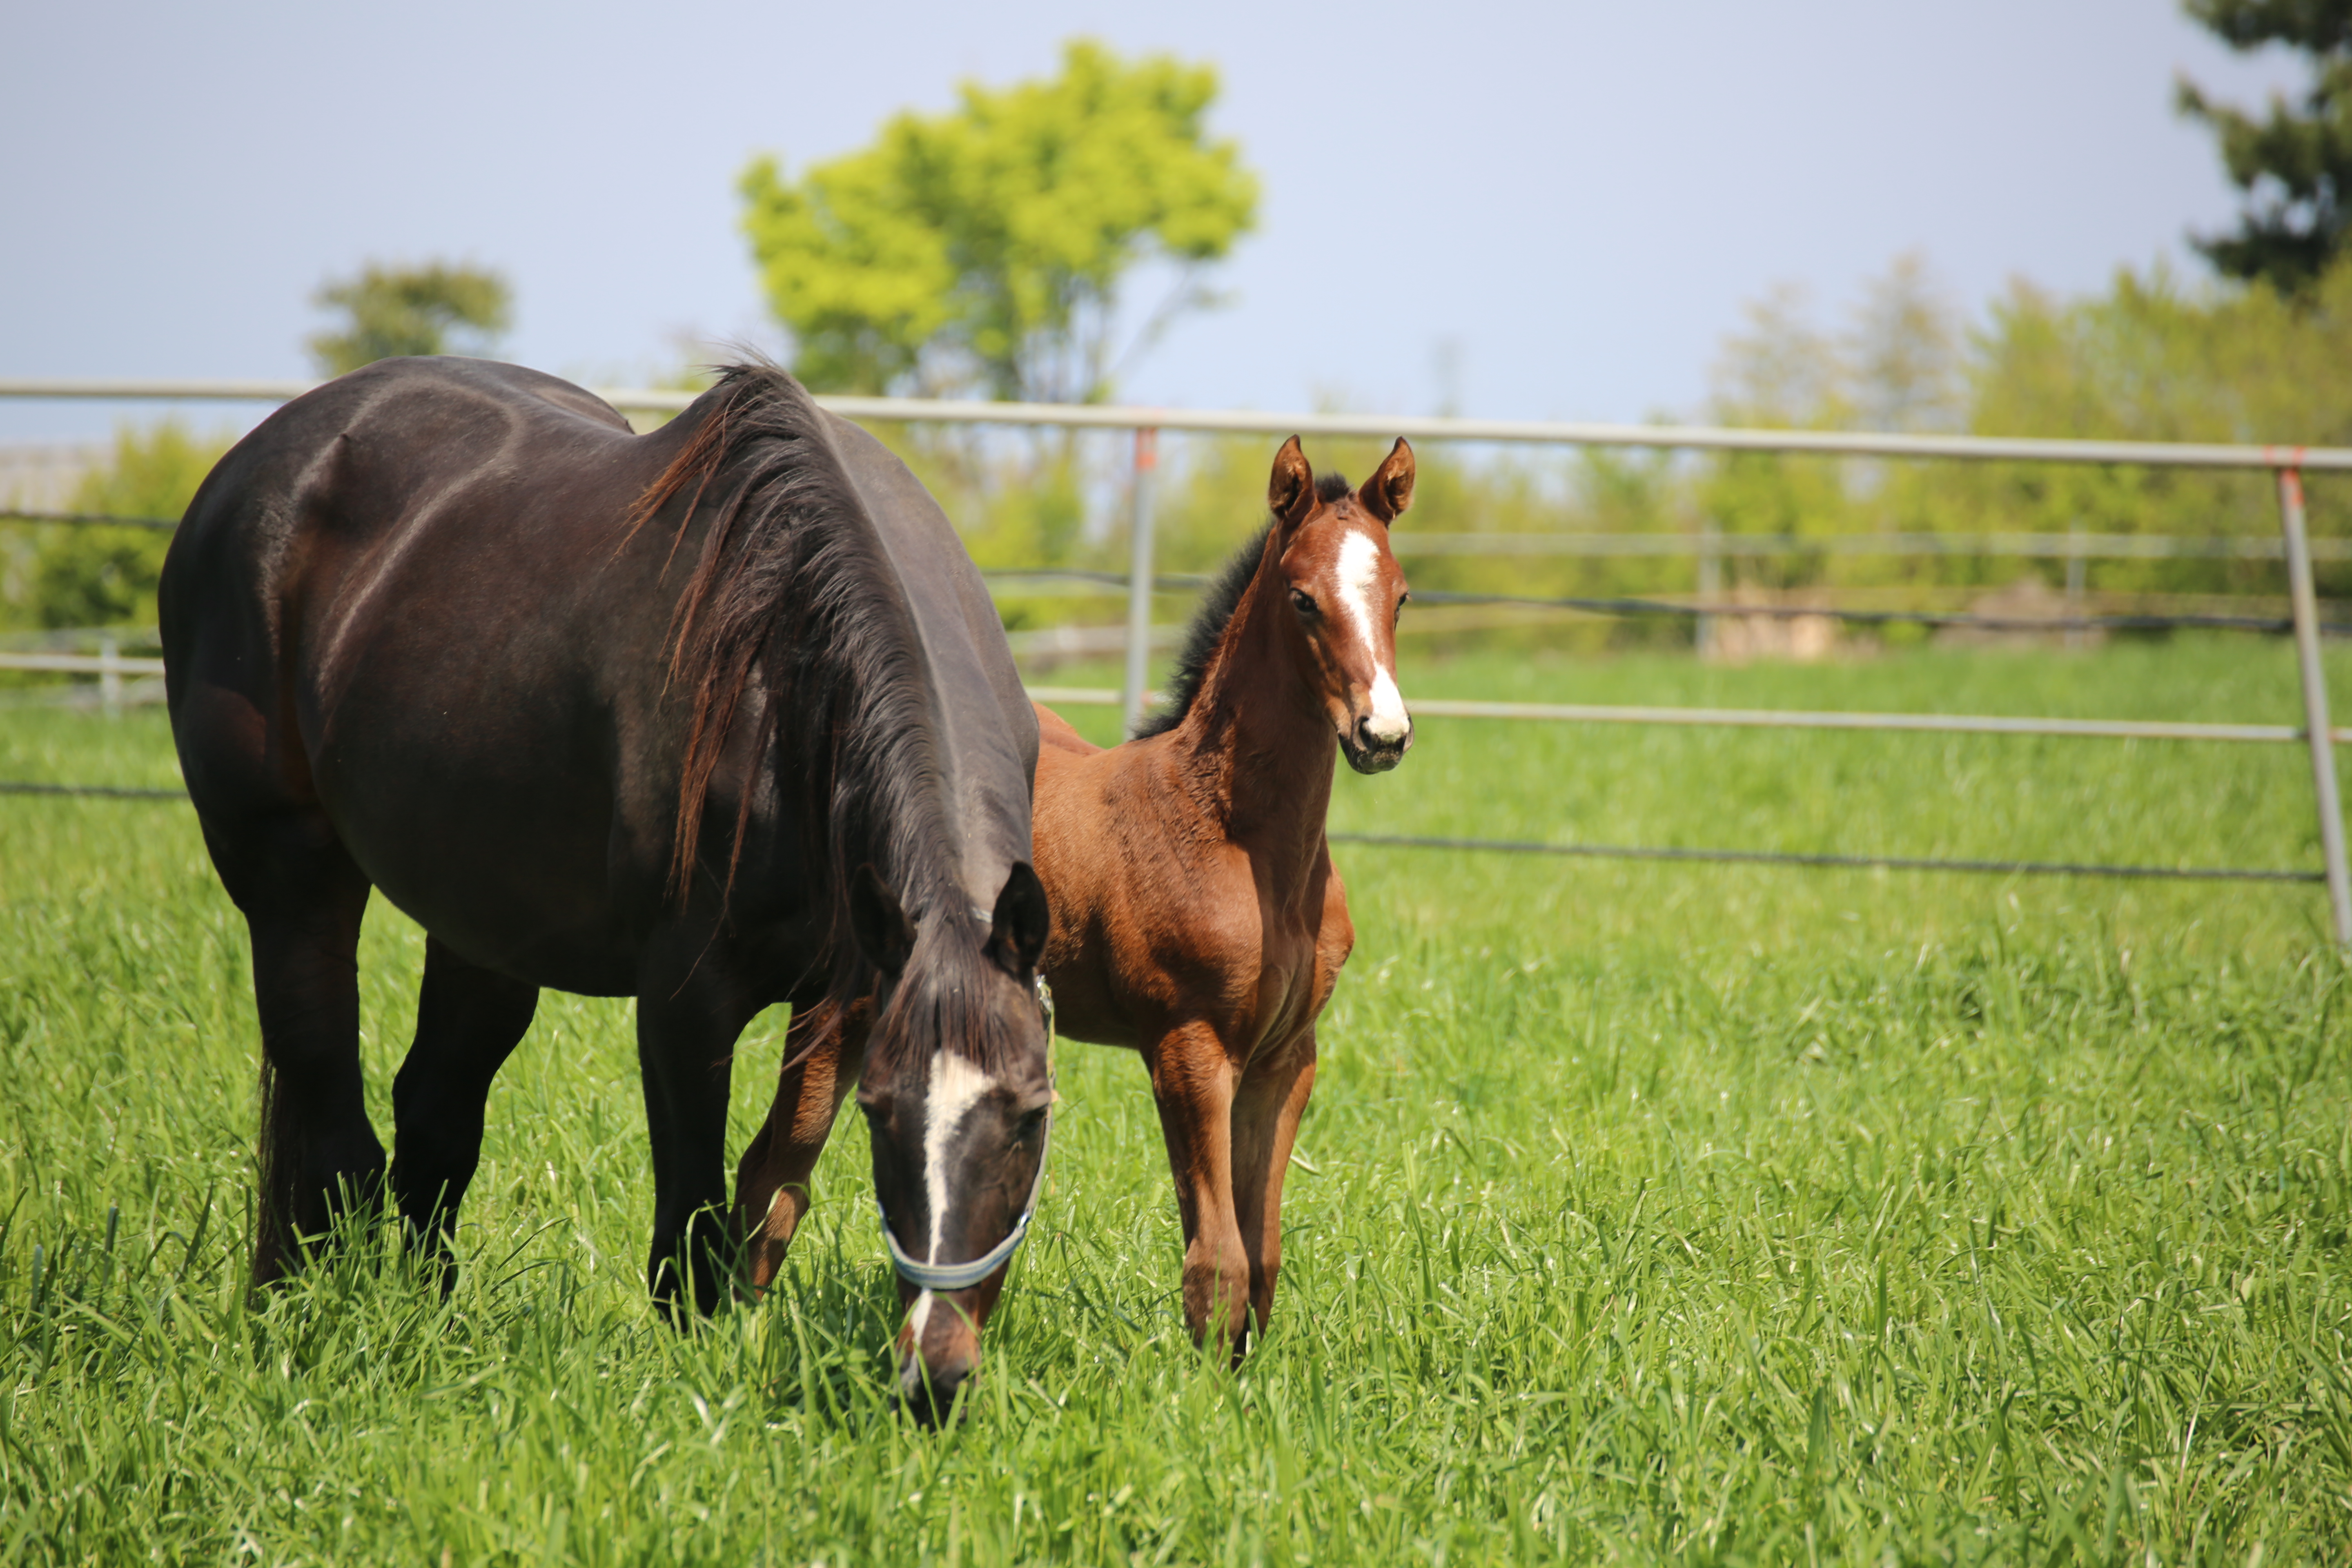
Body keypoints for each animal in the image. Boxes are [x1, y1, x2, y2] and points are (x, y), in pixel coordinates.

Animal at [166, 362, 1049, 1420]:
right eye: (885, 1116)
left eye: (1031, 1114)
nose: (933, 1378)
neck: (787, 683)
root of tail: (255, 465)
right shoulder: (685, 1002)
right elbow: (692, 1211)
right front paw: (697, 1373)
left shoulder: (854, 990)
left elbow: (774, 1178)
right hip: (290, 875)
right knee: (332, 1125)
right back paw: (324, 1320)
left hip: (483, 924)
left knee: (434, 1117)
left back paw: (430, 1320)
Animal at [1035, 435, 1411, 1354]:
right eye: (1304, 600)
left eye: (1402, 597)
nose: (1382, 735)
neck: (1237, 838)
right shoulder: (1188, 1048)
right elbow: (1218, 1260)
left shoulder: (1285, 1058)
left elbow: (1261, 1252)